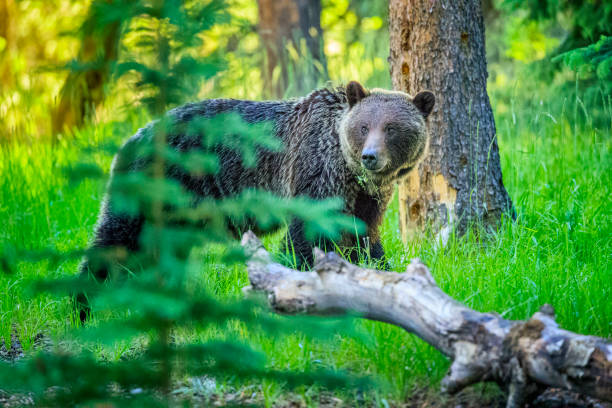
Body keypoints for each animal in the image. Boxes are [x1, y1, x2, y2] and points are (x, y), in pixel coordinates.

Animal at [77, 80, 436, 318]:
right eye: (364, 126)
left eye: (391, 127)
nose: (370, 157)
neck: (348, 171)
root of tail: (132, 139)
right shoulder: (313, 173)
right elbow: (304, 237)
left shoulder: (367, 199)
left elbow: (365, 237)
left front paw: (381, 274)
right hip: (154, 189)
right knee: (116, 241)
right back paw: (82, 306)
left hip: (176, 213)